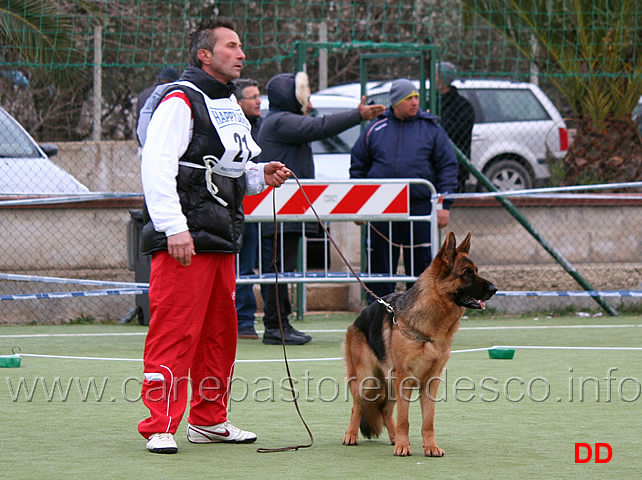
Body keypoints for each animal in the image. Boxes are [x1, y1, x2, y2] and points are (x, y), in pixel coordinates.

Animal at [340, 232, 496, 458]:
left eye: (476, 271)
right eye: (467, 273)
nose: (495, 289)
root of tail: (357, 319)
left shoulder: (431, 382)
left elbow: (427, 422)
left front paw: (430, 446)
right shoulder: (405, 380)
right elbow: (404, 419)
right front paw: (403, 447)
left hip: (388, 382)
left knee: (385, 410)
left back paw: (394, 437)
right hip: (367, 380)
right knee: (357, 407)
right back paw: (351, 435)